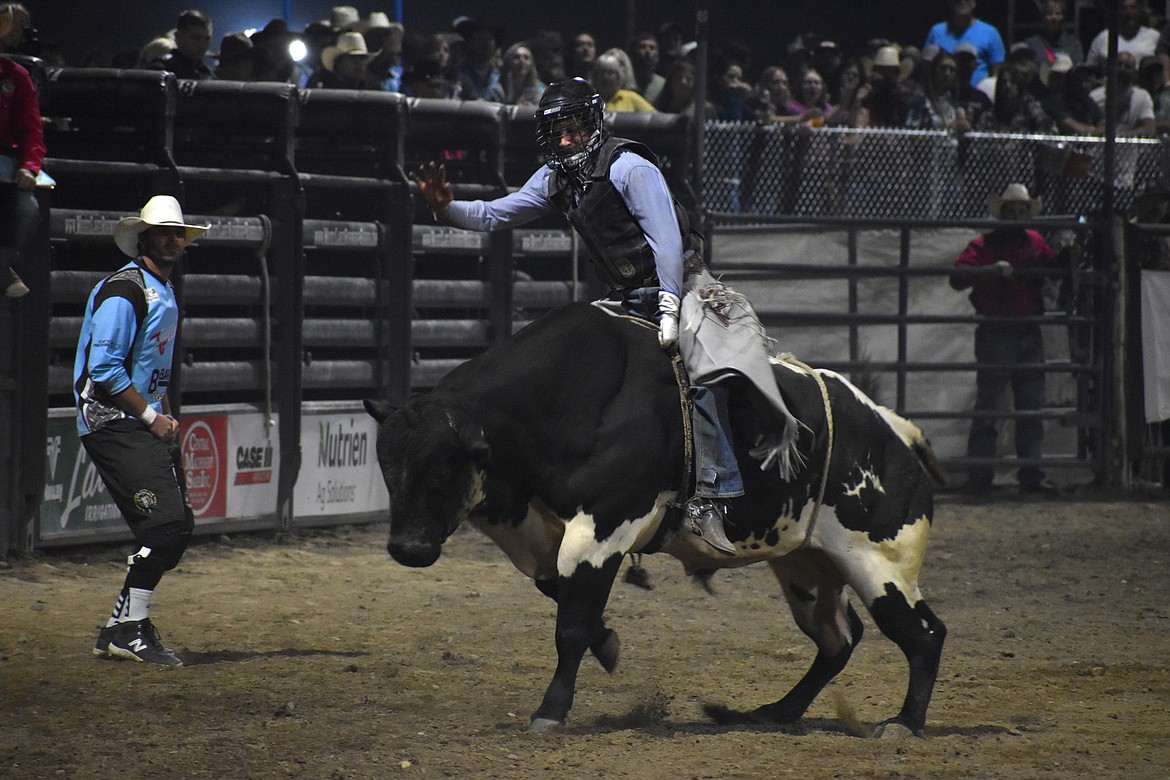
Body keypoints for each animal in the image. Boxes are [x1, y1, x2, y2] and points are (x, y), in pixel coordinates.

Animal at [365, 301, 950, 743]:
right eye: (387, 466)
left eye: (442, 469)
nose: (407, 548)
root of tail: (894, 431)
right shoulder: (546, 540)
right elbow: (569, 600)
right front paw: (607, 644)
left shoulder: (601, 530)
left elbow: (571, 626)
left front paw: (550, 712)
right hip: (808, 567)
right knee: (837, 640)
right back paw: (774, 713)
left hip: (878, 564)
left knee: (924, 634)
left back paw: (903, 723)